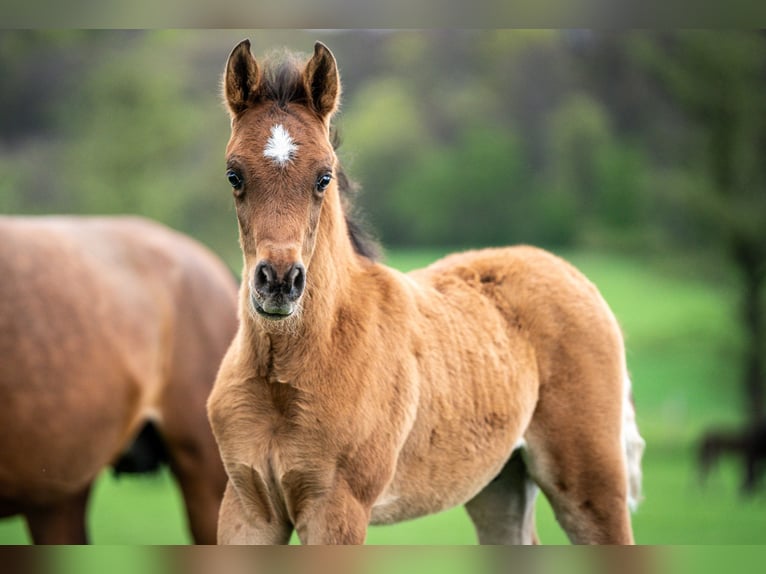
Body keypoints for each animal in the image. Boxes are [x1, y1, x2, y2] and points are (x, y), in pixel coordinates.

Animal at [207, 40, 646, 545]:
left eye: (324, 177)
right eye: (234, 175)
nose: (279, 281)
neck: (284, 373)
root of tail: (575, 276)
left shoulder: (336, 509)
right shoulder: (248, 507)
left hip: (591, 484)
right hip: (500, 485)